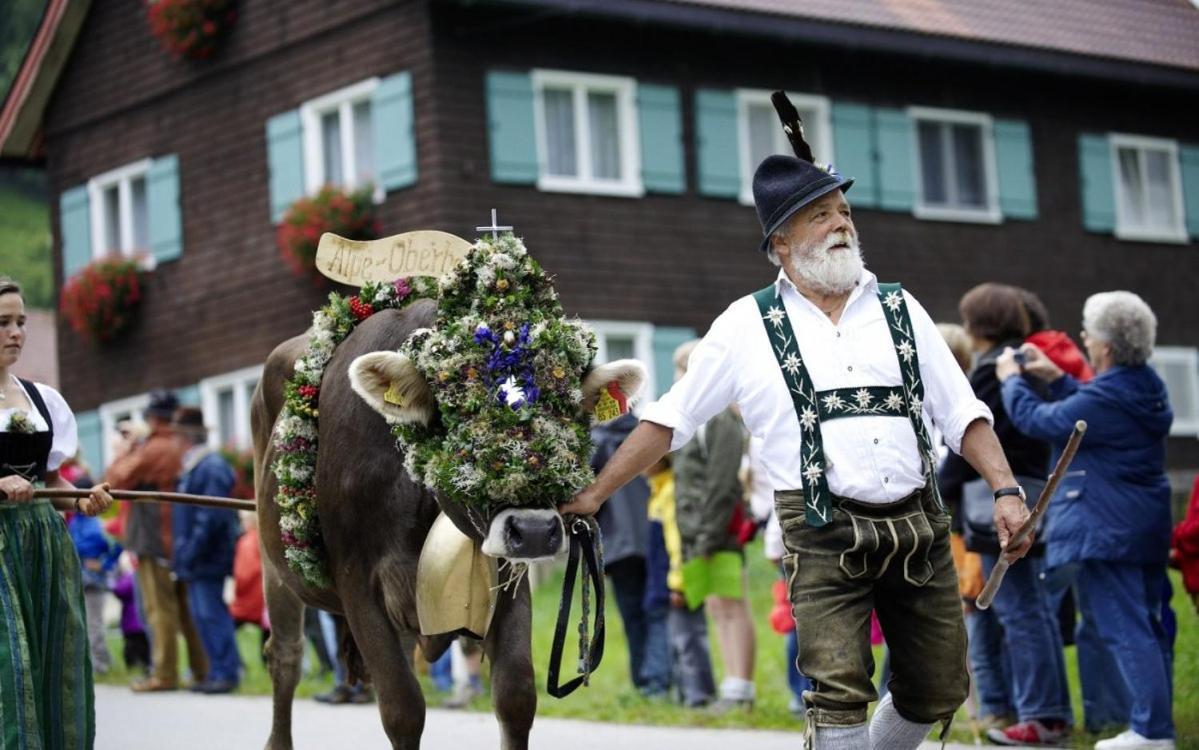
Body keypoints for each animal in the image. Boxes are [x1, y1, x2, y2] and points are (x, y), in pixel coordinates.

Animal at [251, 232, 642, 747]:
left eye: (569, 413)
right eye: (458, 415)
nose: (535, 531)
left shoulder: (507, 577)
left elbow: (516, 696)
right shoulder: (360, 585)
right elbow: (402, 710)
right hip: (273, 566)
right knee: (285, 657)